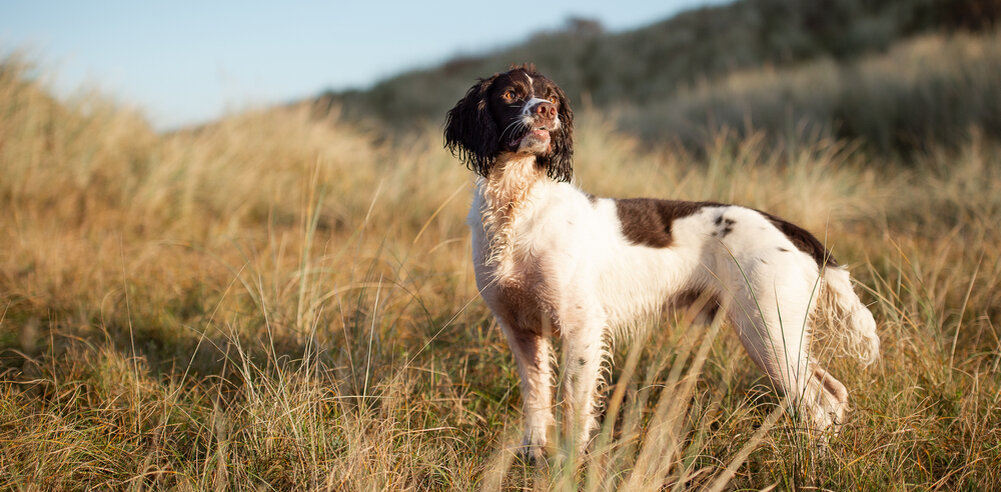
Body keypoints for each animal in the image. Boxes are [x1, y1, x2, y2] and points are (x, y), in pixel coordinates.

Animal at [444, 65, 876, 462]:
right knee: (834, 392)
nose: (546, 110)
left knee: (819, 402)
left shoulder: (581, 327)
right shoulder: (520, 330)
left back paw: (813, 462)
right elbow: (536, 397)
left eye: (550, 96)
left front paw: (565, 468)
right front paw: (534, 455)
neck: (518, 206)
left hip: (767, 330)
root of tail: (786, 226)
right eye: (511, 94)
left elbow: (573, 407)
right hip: (779, 335)